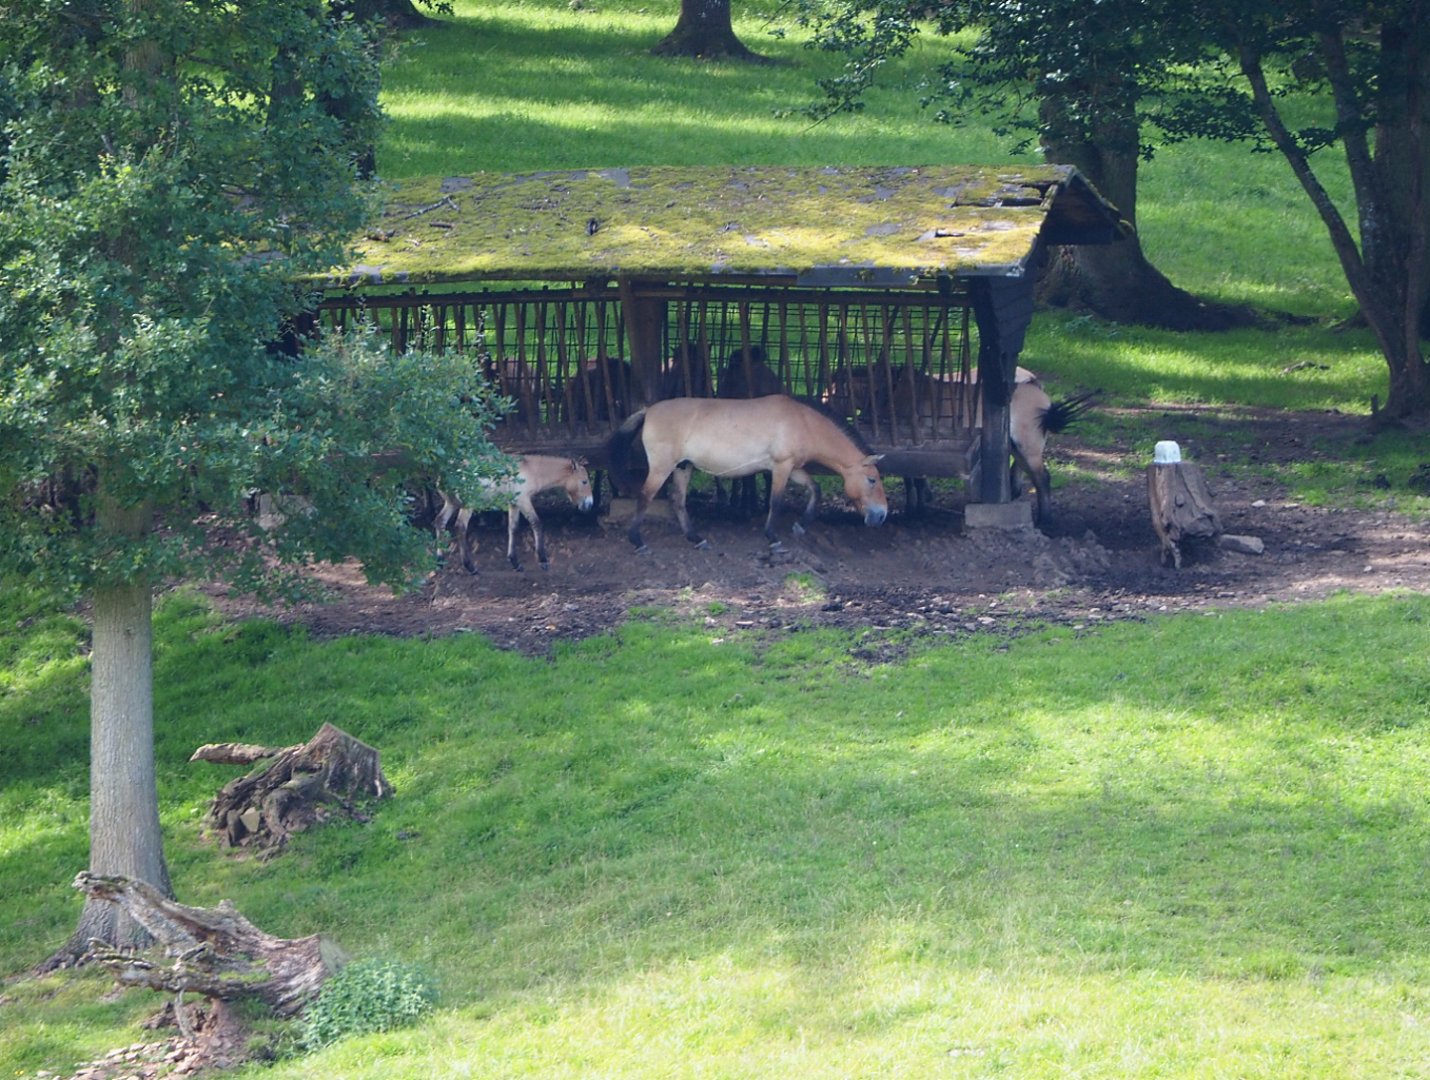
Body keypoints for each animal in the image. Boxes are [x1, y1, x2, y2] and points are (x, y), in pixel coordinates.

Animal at [436, 455, 594, 572]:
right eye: (584, 481)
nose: (590, 504)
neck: (531, 469)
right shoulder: (523, 501)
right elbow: (536, 523)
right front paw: (542, 560)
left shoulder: (514, 504)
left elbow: (513, 528)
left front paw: (515, 562)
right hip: (468, 504)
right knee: (460, 527)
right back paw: (470, 566)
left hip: (452, 503)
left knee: (440, 522)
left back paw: (440, 561)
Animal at [607, 395, 888, 553]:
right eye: (872, 480)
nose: (881, 516)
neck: (803, 421)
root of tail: (649, 410)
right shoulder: (781, 467)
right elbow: (776, 502)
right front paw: (773, 539)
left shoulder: (793, 468)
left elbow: (814, 489)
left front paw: (800, 526)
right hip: (662, 468)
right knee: (645, 497)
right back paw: (638, 542)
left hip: (682, 467)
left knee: (677, 500)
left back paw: (696, 539)